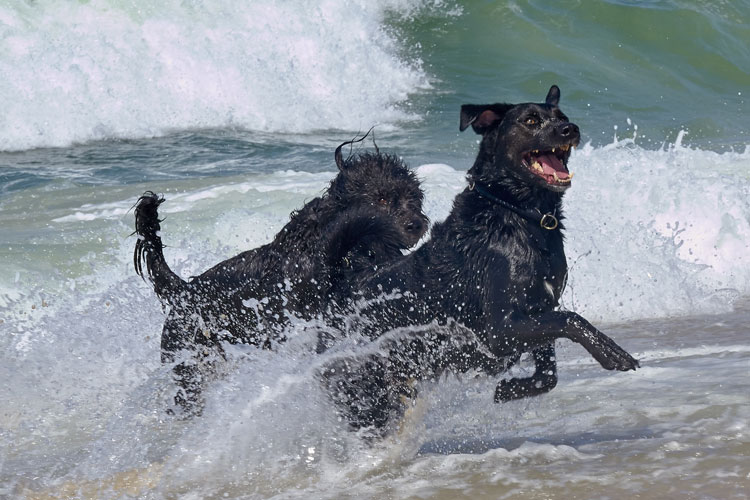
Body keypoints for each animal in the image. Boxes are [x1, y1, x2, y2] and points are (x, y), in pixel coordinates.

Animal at [320, 86, 644, 434]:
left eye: (562, 117)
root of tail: (343, 285)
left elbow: (549, 372)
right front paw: (610, 351)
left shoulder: (540, 307)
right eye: (531, 120)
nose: (570, 129)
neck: (515, 213)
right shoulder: (500, 331)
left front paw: (509, 389)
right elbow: (569, 320)